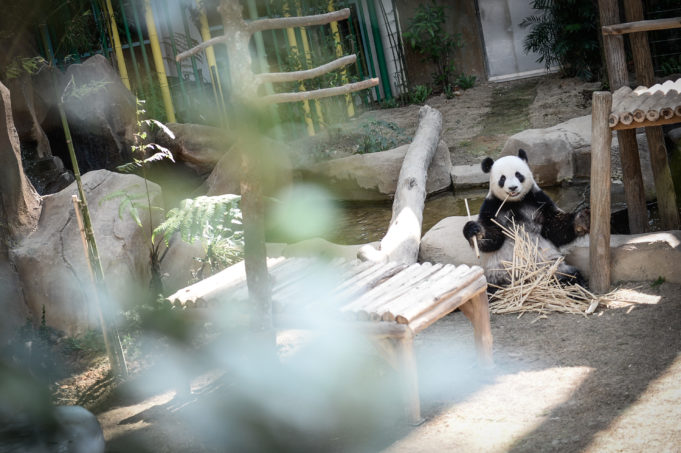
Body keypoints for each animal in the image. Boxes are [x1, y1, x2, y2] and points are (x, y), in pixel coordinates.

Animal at [463, 149, 590, 290]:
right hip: (499, 272)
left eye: (518, 174)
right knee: (490, 286)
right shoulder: (492, 207)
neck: (514, 202)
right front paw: (474, 230)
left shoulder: (538, 200)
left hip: (549, 264)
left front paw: (582, 220)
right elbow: (492, 238)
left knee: (569, 275)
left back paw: (575, 283)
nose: (512, 188)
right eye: (502, 178)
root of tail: (527, 279)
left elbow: (555, 229)